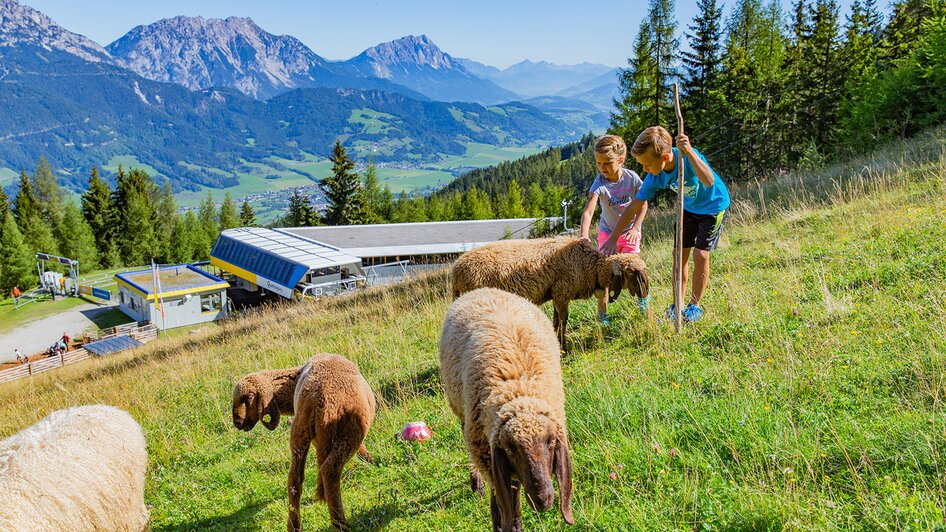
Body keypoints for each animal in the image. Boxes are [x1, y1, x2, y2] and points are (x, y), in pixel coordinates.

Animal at [230, 354, 374, 532]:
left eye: (248, 397)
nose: (237, 422)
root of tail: (324, 401)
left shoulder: (318, 441)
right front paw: (370, 460)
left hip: (300, 433)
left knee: (294, 478)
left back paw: (294, 525)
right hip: (351, 433)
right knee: (329, 469)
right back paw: (340, 523)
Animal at [436, 288, 576, 528]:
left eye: (551, 442)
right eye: (510, 448)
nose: (542, 500)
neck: (520, 388)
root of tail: (482, 289)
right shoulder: (489, 452)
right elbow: (504, 502)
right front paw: (503, 522)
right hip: (462, 413)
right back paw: (476, 483)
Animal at [452, 237, 648, 344]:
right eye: (632, 272)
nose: (645, 293)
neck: (590, 266)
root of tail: (456, 270)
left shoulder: (556, 294)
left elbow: (555, 320)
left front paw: (555, 340)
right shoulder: (562, 292)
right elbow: (563, 320)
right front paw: (564, 345)